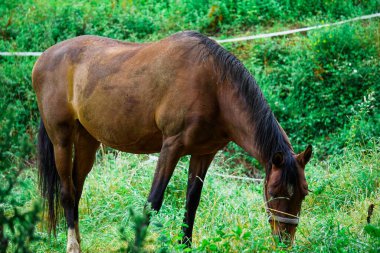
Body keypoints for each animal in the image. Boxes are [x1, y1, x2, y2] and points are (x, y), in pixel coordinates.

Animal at [31, 30, 312, 252]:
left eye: (304, 192)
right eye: (274, 192)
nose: (284, 241)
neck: (214, 86)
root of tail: (43, 58)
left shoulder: (203, 154)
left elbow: (192, 203)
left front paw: (185, 245)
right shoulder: (171, 147)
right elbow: (153, 201)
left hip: (87, 142)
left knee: (77, 189)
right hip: (61, 141)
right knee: (67, 192)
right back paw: (72, 245)